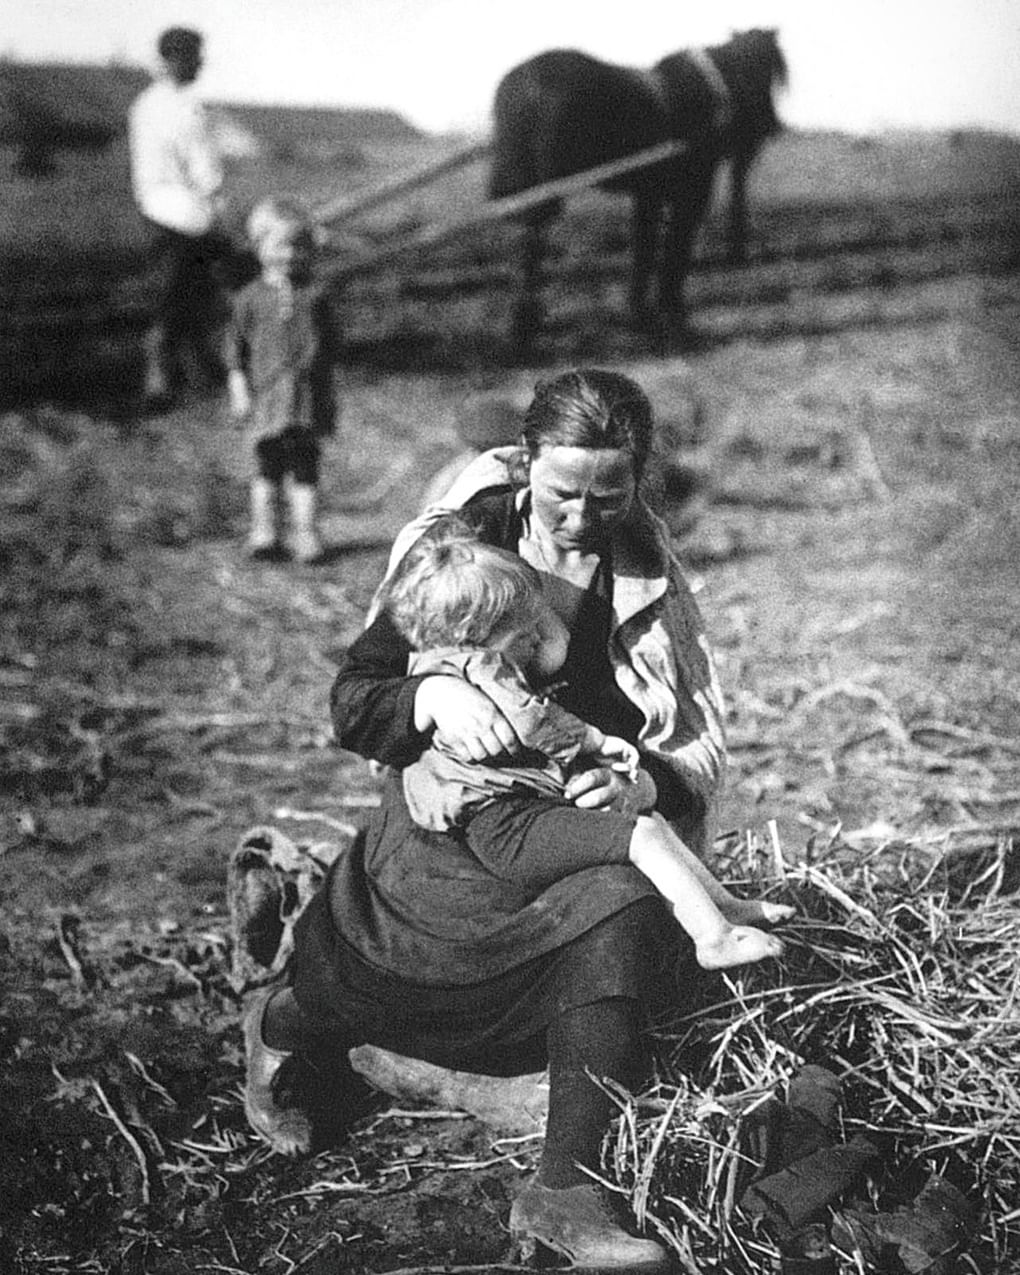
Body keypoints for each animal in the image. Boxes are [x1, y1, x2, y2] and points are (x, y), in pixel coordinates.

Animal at [489, 29, 785, 346]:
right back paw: (524, 323)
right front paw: (671, 311)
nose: (771, 125)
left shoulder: (649, 193)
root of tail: (520, 83)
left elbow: (644, 247)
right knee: (532, 241)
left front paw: (641, 313)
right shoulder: (691, 193)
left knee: (527, 238)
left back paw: (524, 322)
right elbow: (675, 248)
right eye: (768, 68)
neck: (707, 95)